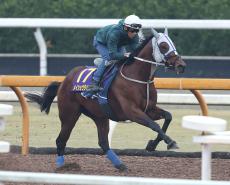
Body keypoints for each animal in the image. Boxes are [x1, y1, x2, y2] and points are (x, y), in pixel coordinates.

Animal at [25, 28, 186, 171]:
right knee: (61, 140)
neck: (138, 77)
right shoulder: (132, 112)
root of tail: (63, 81)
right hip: (69, 114)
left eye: (172, 44)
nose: (181, 65)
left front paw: (152, 144)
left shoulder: (150, 109)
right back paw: (61, 167)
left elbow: (168, 117)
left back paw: (120, 165)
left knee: (103, 142)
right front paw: (170, 142)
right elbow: (154, 125)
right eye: (163, 46)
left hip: (100, 116)